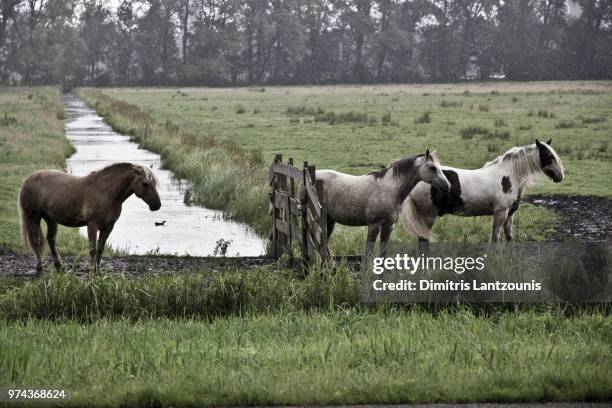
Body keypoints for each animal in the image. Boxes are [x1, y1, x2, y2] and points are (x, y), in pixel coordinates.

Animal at [20, 161, 160, 272]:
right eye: (145, 183)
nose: (157, 205)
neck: (105, 192)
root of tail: (28, 179)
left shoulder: (108, 227)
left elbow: (100, 248)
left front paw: (98, 269)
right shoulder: (92, 225)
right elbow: (93, 249)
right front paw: (92, 270)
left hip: (51, 220)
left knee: (51, 240)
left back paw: (59, 266)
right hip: (32, 217)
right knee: (36, 241)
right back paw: (40, 267)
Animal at [310, 150, 450, 258]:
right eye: (433, 167)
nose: (448, 186)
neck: (390, 188)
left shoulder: (388, 226)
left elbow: (383, 252)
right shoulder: (374, 225)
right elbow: (368, 252)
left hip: (329, 221)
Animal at [402, 140, 564, 242]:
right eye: (549, 156)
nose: (560, 176)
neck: (509, 175)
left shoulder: (510, 215)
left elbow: (509, 238)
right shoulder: (500, 213)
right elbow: (494, 238)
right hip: (428, 216)